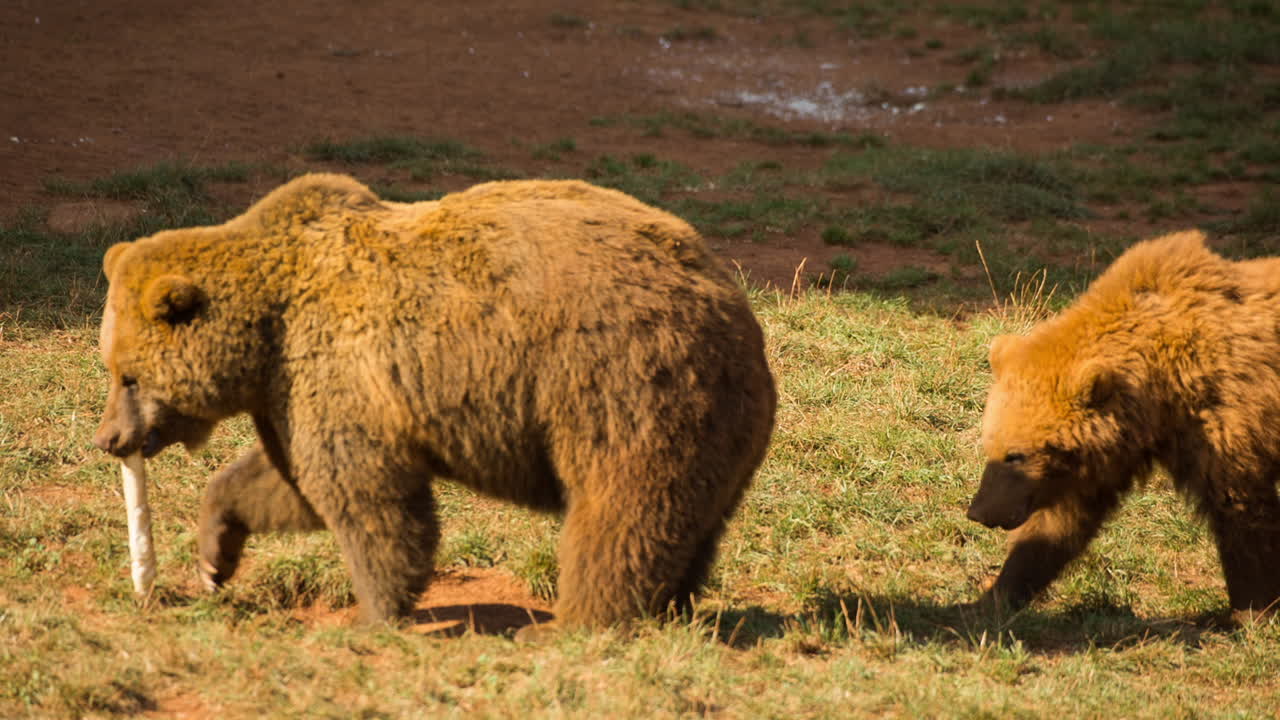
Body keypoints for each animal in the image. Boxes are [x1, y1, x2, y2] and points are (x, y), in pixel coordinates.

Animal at [92, 174, 777, 631]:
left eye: (128, 376)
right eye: (112, 366)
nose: (109, 438)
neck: (266, 332)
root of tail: (737, 313)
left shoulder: (341, 367)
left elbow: (367, 500)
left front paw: (375, 613)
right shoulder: (293, 392)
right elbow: (288, 483)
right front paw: (215, 556)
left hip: (623, 389)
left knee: (617, 516)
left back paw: (577, 622)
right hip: (711, 429)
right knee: (688, 526)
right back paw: (669, 608)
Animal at [966, 229, 1280, 620]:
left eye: (1016, 455)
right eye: (989, 446)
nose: (979, 512)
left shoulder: (1225, 421)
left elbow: (1241, 513)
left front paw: (1252, 610)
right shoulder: (1107, 454)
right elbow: (1059, 525)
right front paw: (993, 596)